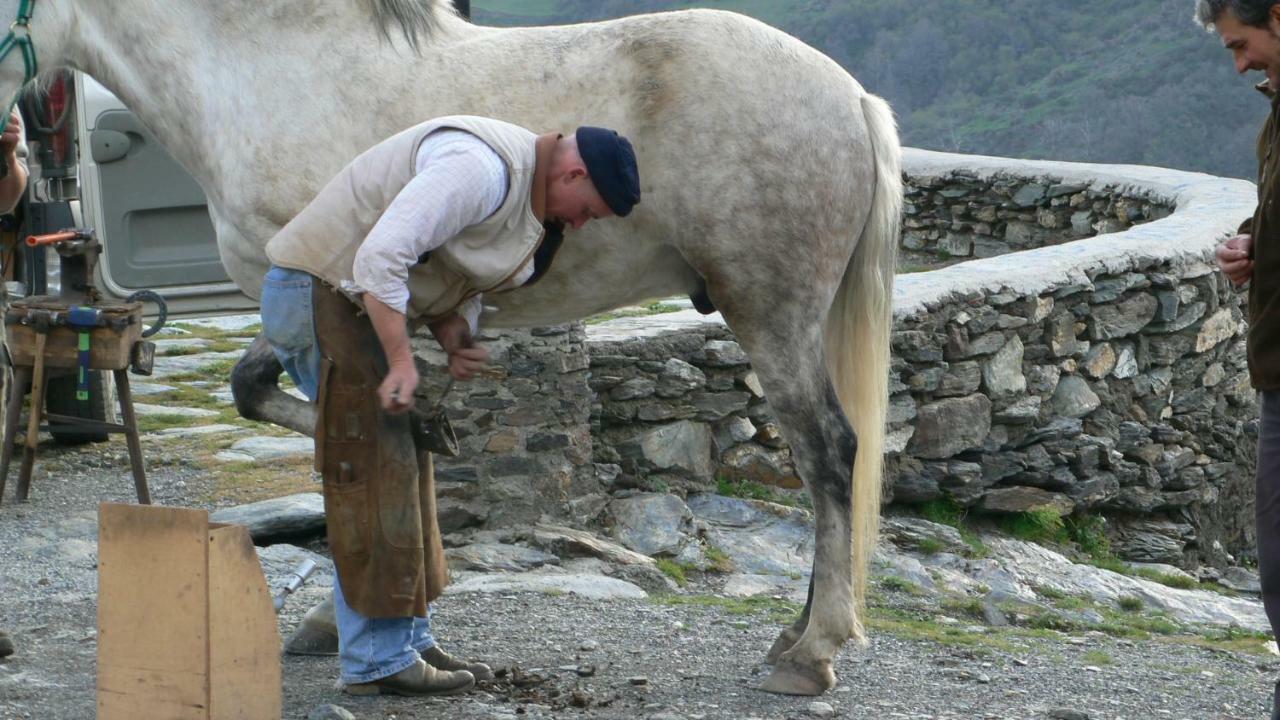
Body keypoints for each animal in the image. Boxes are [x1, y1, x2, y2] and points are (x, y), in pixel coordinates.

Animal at [5, 1, 901, 696]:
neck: (268, 71)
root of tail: (853, 94)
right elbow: (267, 399)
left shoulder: (314, 298)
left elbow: (344, 451)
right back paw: (796, 635)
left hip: (771, 313)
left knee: (828, 453)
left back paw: (812, 654)